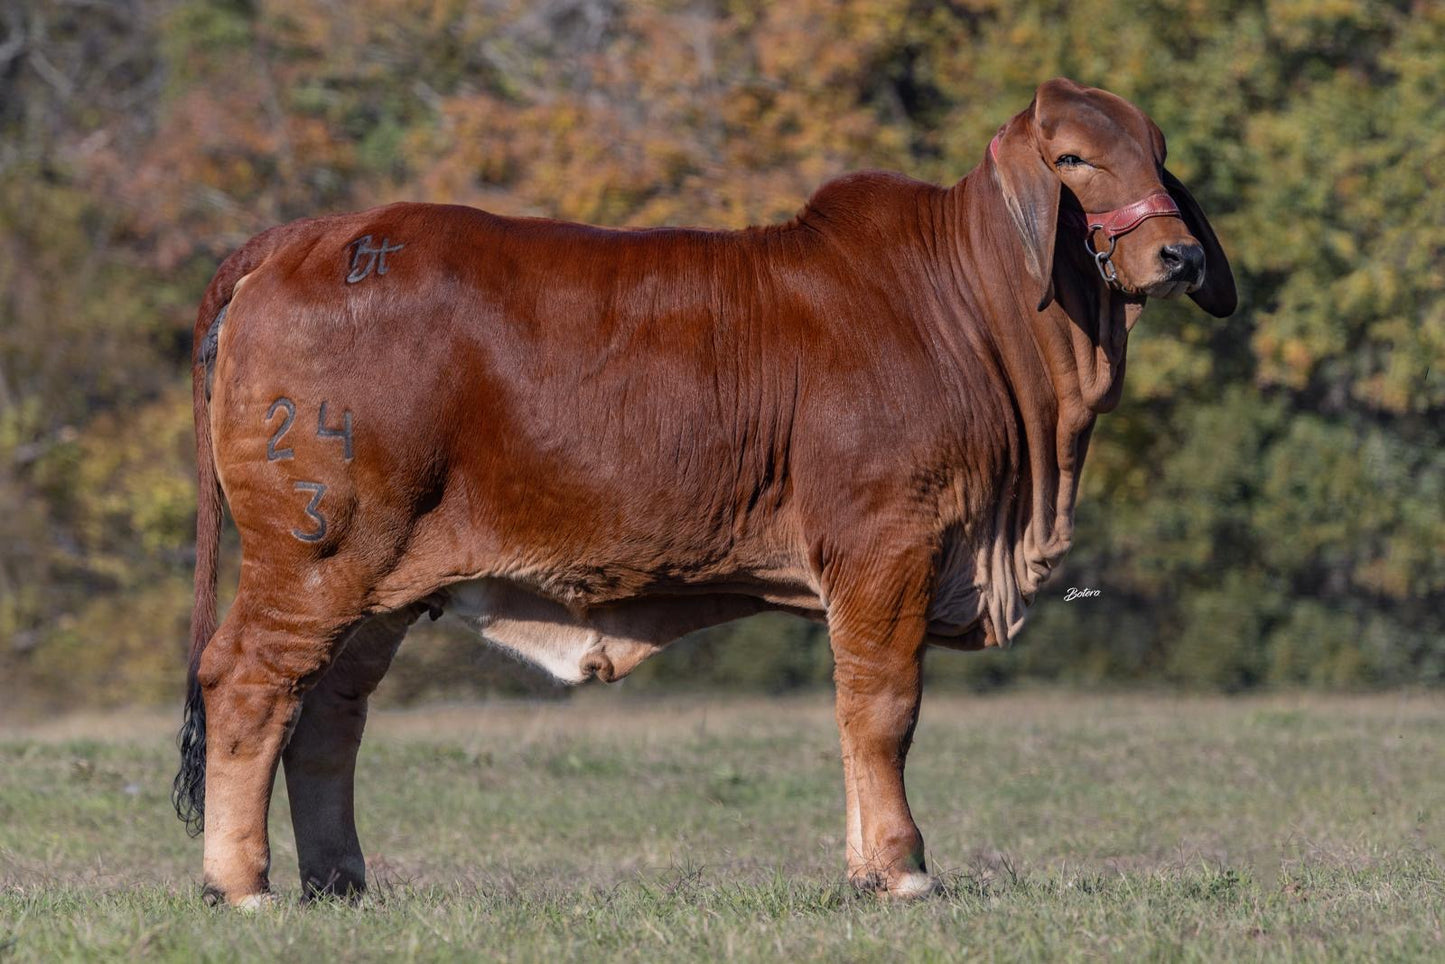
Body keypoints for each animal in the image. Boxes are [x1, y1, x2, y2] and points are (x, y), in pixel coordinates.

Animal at [169, 79, 1231, 907]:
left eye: (1155, 154)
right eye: (1072, 158)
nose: (1178, 257)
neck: (972, 308)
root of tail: (307, 236)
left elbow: (856, 712)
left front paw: (864, 868)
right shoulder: (889, 542)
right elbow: (883, 708)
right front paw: (900, 868)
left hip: (378, 588)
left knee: (328, 715)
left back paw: (339, 881)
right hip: (316, 554)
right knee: (248, 684)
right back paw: (241, 884)